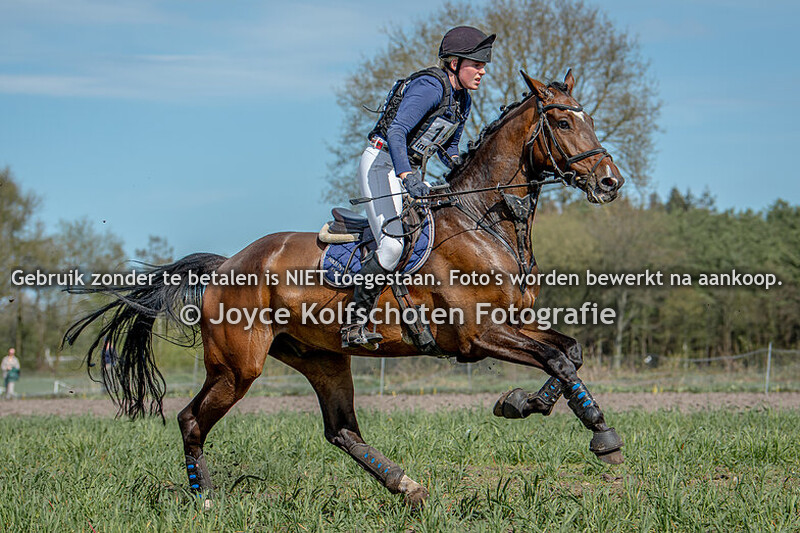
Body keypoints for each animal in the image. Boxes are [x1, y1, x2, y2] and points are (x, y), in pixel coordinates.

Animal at [65, 69, 625, 508]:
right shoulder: (477, 335)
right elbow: (556, 359)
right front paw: (599, 434)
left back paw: (407, 487)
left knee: (341, 429)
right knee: (190, 419)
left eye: (590, 119)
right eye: (562, 122)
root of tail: (228, 264)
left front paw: (530, 406)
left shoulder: (515, 323)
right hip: (237, 367)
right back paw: (204, 500)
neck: (482, 221)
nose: (610, 182)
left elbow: (569, 353)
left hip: (322, 358)